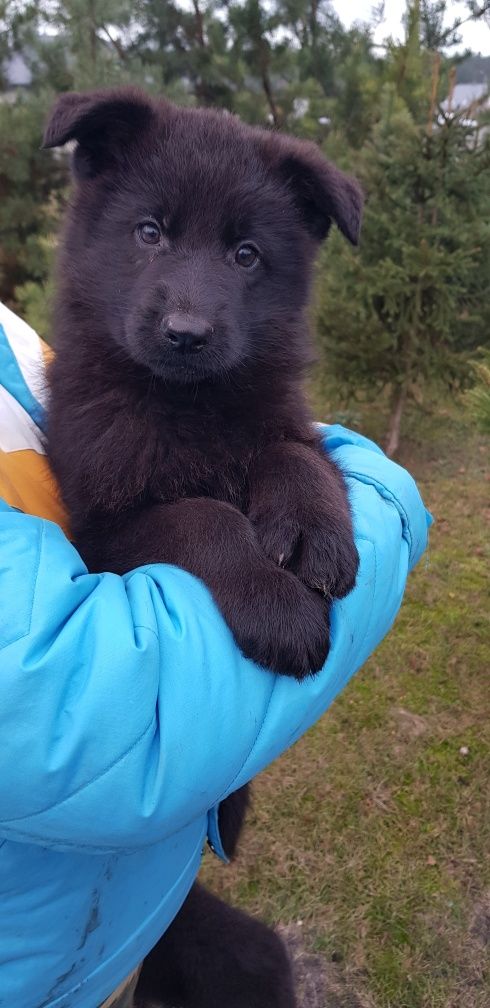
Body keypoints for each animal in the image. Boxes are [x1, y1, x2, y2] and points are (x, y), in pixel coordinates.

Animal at [43, 88, 358, 1008]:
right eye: (149, 232)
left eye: (247, 255)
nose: (186, 332)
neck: (187, 406)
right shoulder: (107, 528)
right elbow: (203, 519)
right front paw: (279, 607)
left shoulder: (280, 417)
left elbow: (293, 453)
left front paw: (315, 534)